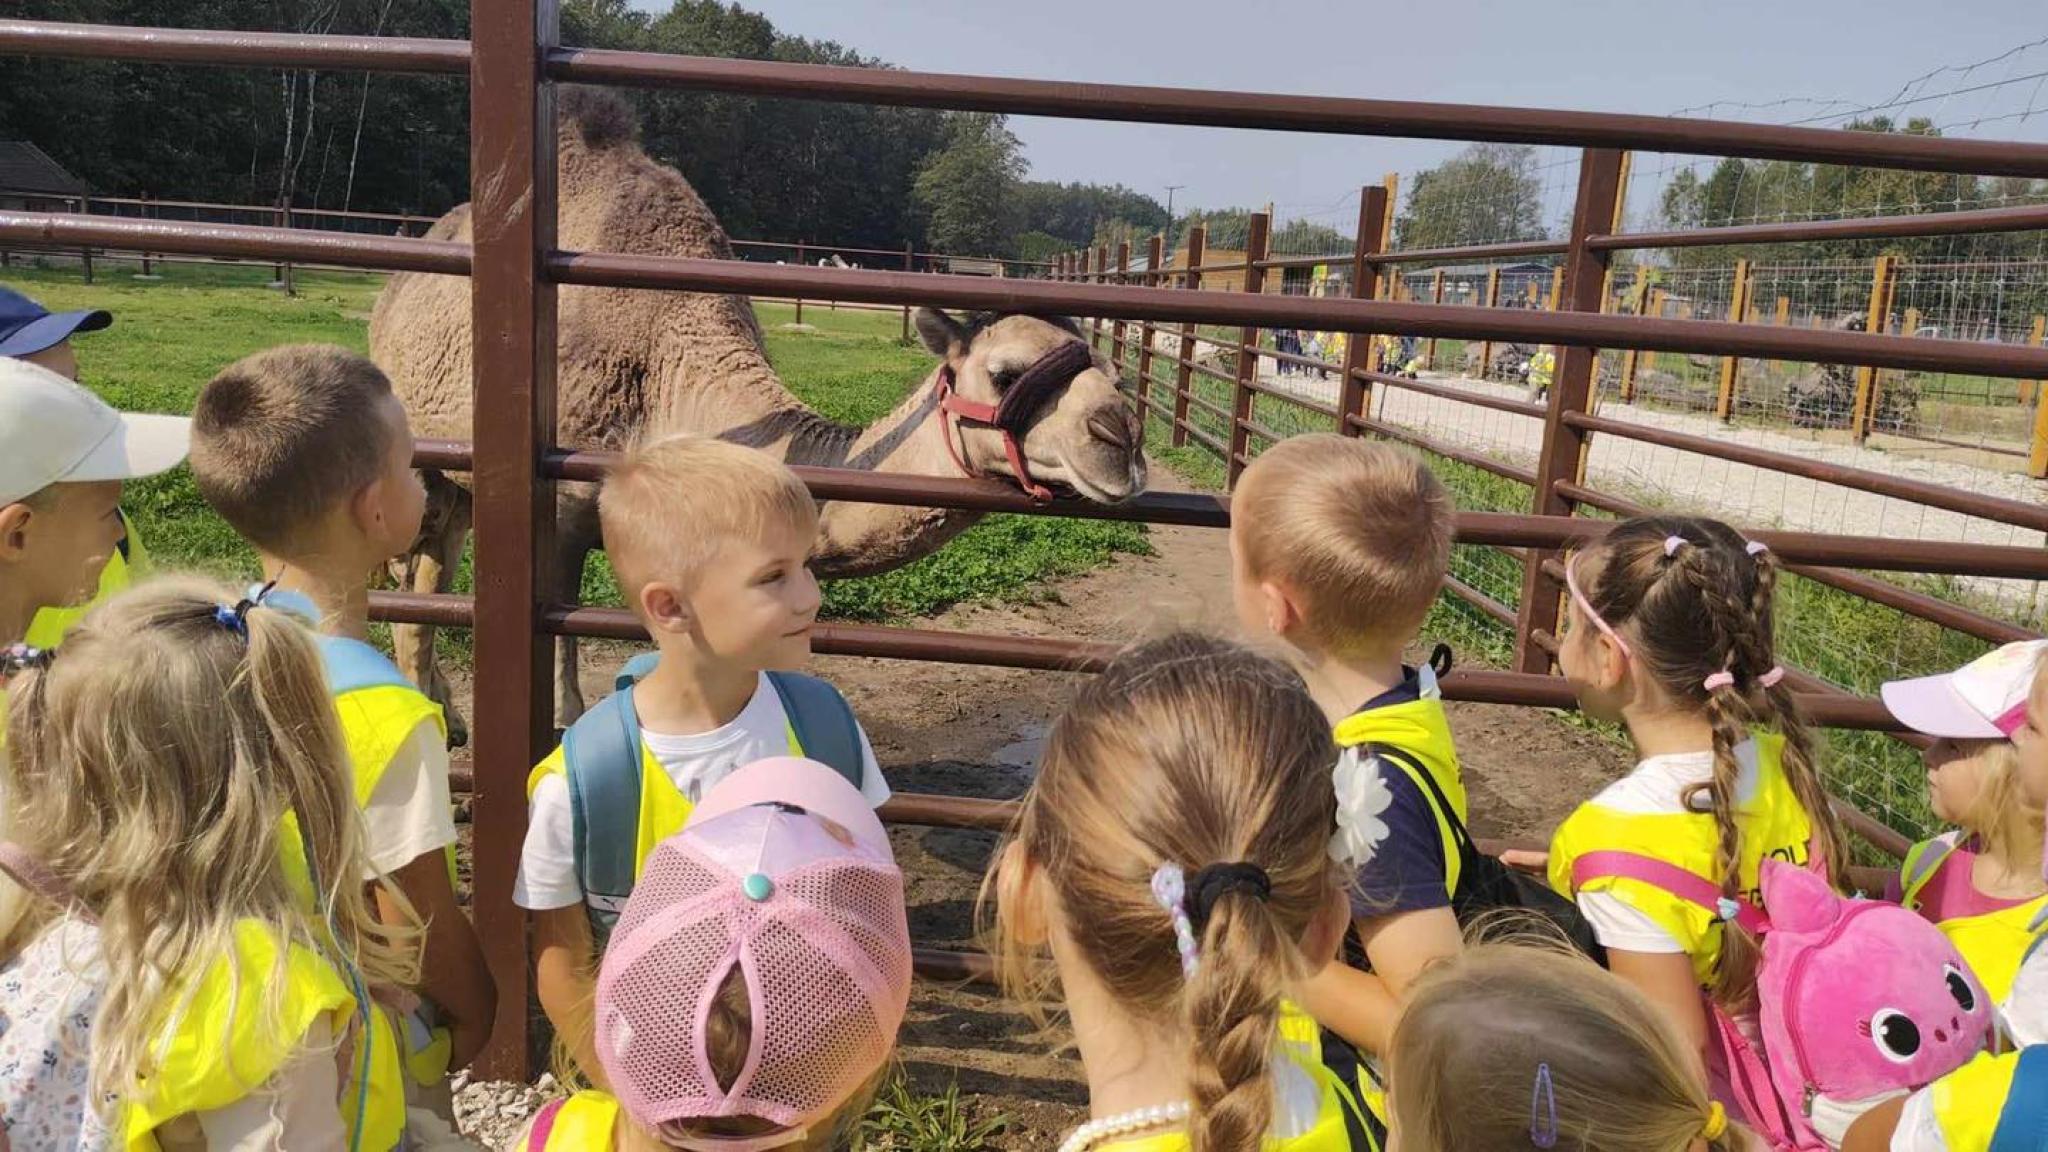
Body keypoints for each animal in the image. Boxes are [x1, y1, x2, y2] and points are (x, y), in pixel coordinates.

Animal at [368, 89, 1145, 742]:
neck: (671, 382)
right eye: (1005, 373)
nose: (1122, 439)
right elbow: (563, 666)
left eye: (1110, 372)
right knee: (420, 581)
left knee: (427, 578)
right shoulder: (558, 511)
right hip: (425, 455)